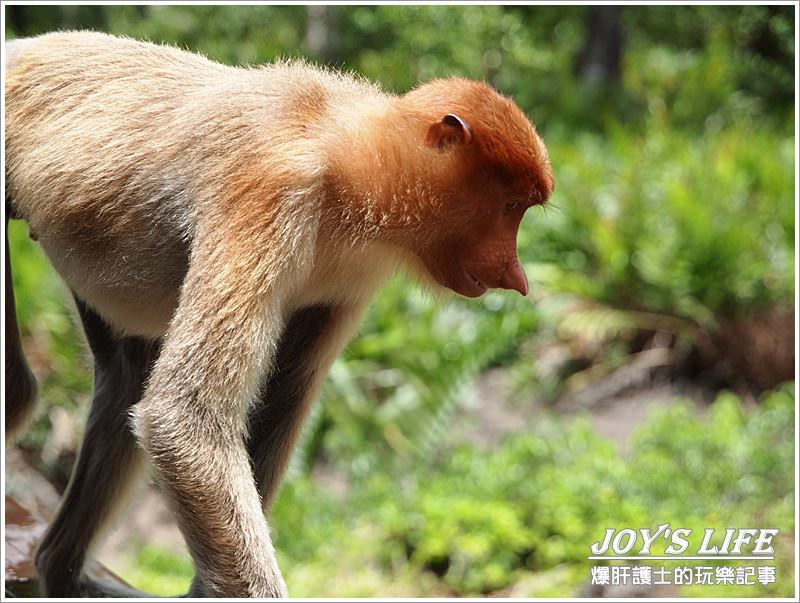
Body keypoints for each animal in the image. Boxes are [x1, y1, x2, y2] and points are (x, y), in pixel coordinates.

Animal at [6, 30, 552, 596]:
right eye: (511, 206)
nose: (516, 277)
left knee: (121, 378)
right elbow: (185, 417)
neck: (347, 156)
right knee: (21, 393)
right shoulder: (269, 190)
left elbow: (279, 399)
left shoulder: (355, 276)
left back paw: (59, 566)